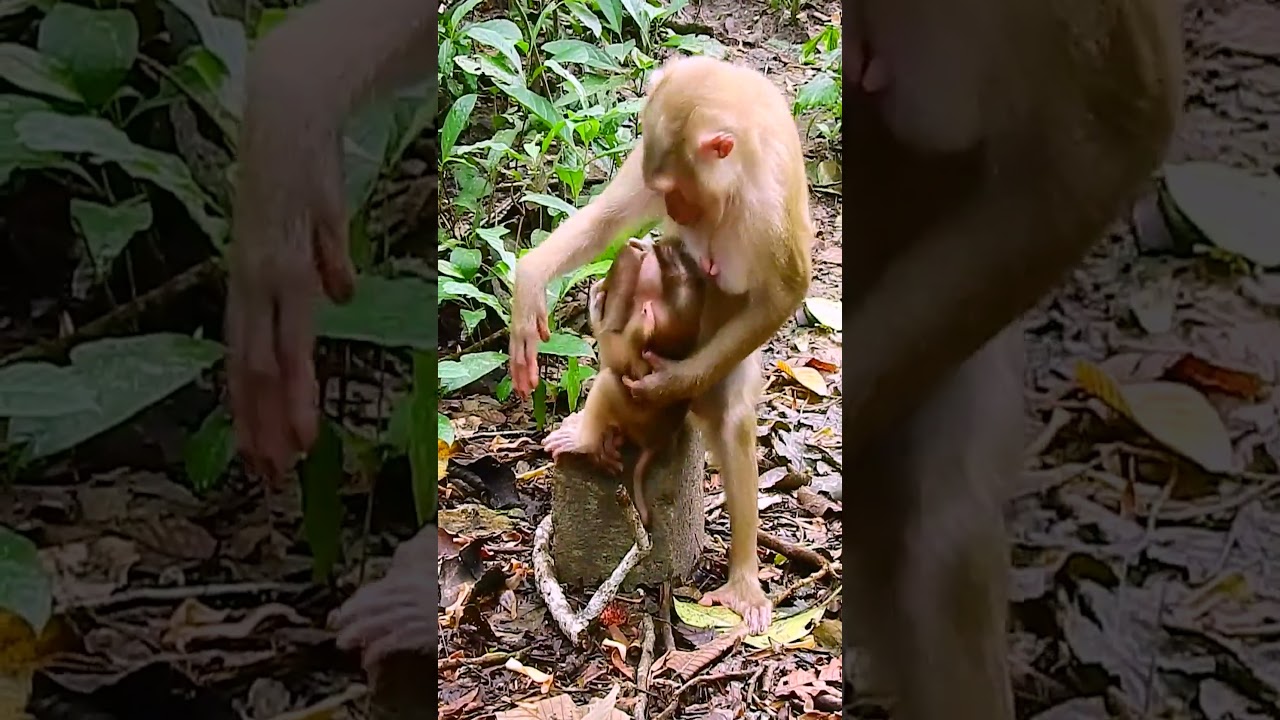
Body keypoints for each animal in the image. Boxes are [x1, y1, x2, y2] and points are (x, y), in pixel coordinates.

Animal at [543, 236, 707, 528]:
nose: (638, 246)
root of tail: (658, 439)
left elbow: (613, 346)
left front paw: (599, 298)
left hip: (636, 418)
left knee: (608, 383)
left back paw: (584, 441)